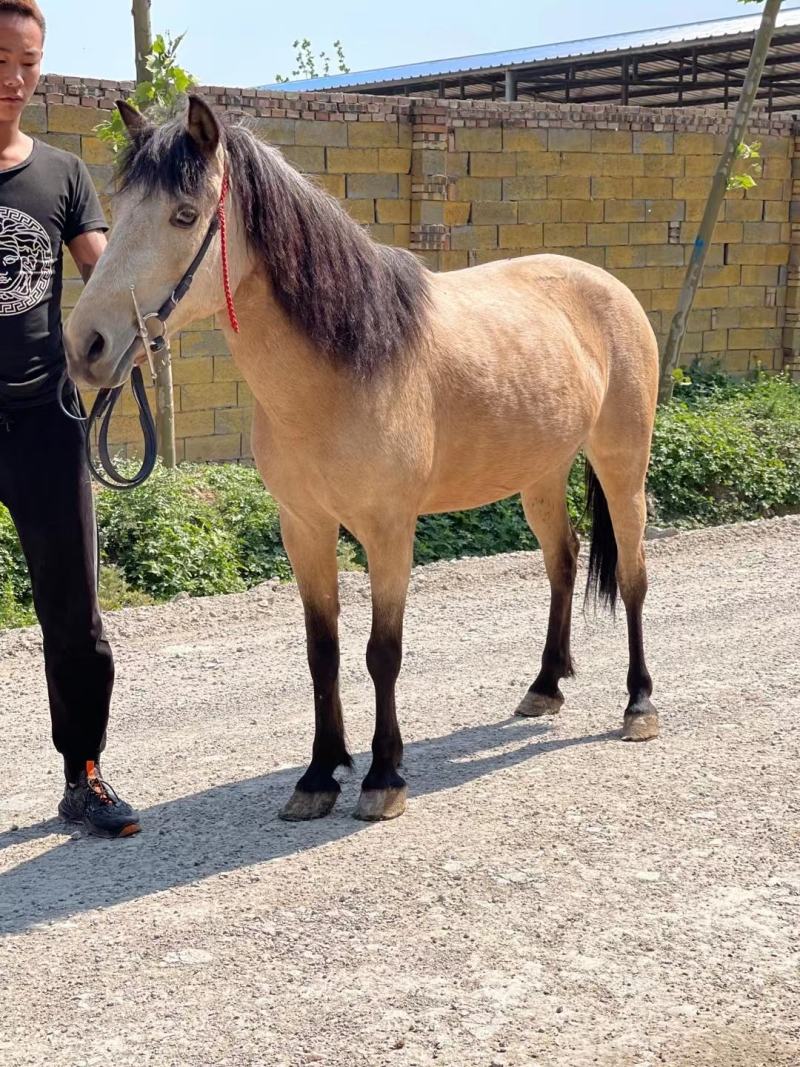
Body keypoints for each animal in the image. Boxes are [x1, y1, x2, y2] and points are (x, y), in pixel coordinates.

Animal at [65, 96, 660, 823]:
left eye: (184, 214)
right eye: (118, 209)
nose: (86, 345)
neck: (345, 364)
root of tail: (608, 286)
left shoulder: (388, 529)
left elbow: (383, 652)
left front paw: (383, 776)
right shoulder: (304, 527)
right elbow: (322, 651)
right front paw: (319, 775)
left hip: (622, 463)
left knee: (631, 577)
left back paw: (639, 704)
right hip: (540, 474)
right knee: (564, 562)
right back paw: (545, 686)